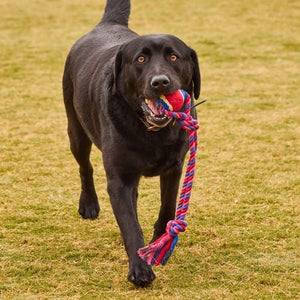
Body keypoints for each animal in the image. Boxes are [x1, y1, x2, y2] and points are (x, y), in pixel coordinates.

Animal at [62, 0, 200, 288]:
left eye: (173, 57)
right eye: (141, 59)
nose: (160, 82)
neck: (150, 131)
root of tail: (107, 24)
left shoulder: (174, 168)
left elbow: (169, 206)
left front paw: (159, 245)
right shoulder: (119, 180)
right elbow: (130, 224)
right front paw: (139, 268)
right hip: (76, 130)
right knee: (85, 166)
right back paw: (88, 204)